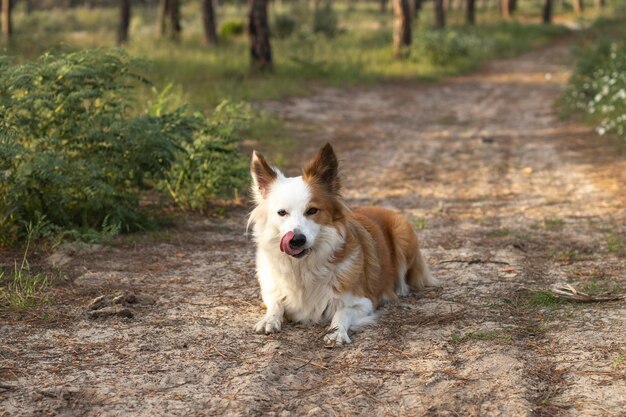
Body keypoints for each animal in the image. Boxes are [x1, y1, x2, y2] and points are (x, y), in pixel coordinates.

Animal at [246, 143, 436, 344]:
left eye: (312, 210)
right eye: (282, 213)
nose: (297, 240)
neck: (303, 267)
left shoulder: (364, 302)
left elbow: (342, 311)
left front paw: (336, 331)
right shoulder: (273, 292)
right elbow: (276, 304)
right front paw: (269, 319)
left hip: (402, 231)